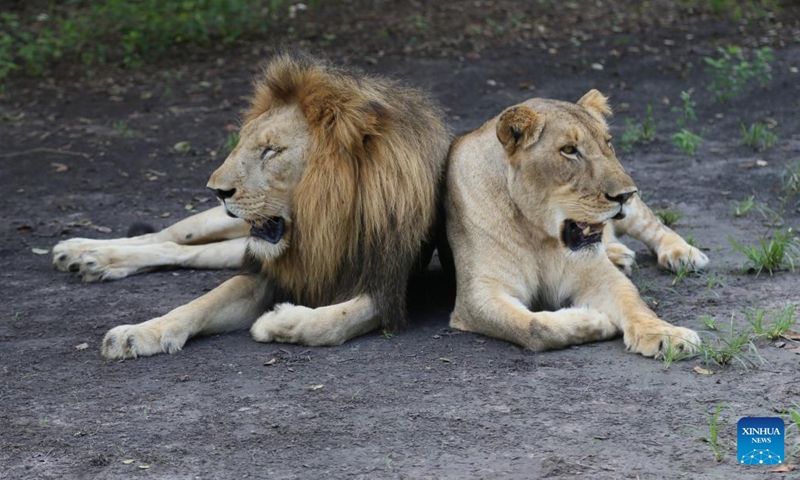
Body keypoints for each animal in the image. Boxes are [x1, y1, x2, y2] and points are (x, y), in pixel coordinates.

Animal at [53, 53, 450, 359]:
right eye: (242, 143)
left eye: (271, 150)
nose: (217, 190)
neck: (322, 226)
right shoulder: (263, 274)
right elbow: (200, 303)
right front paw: (139, 333)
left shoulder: (388, 285)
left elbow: (334, 322)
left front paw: (280, 321)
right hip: (221, 226)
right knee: (169, 237)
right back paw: (83, 252)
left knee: (187, 253)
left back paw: (93, 261)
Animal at [445, 90, 708, 358]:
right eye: (569, 150)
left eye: (608, 143)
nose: (626, 194)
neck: (538, 233)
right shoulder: (478, 296)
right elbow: (534, 327)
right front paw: (596, 320)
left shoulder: (598, 275)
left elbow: (635, 303)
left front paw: (668, 335)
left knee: (655, 226)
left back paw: (683, 254)